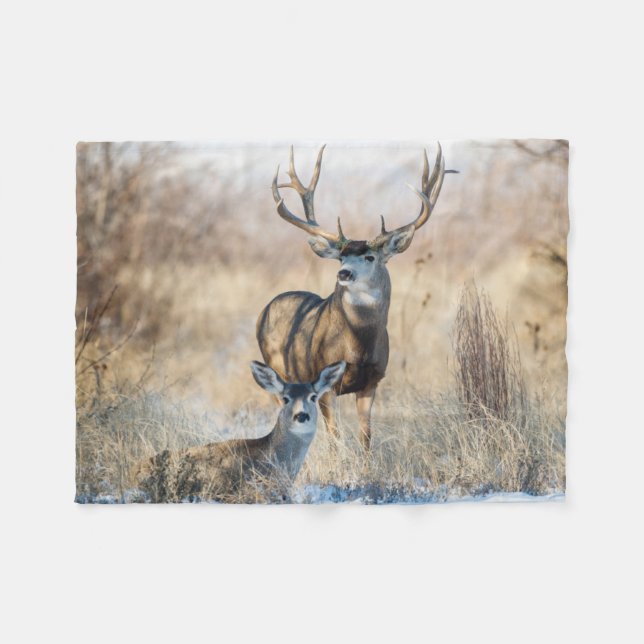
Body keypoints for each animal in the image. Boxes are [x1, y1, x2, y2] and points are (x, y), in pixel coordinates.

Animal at [257, 143, 450, 450]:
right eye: (341, 257)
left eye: (370, 257)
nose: (344, 273)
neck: (358, 345)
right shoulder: (324, 383)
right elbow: (335, 437)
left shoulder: (372, 381)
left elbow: (366, 436)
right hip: (277, 370)